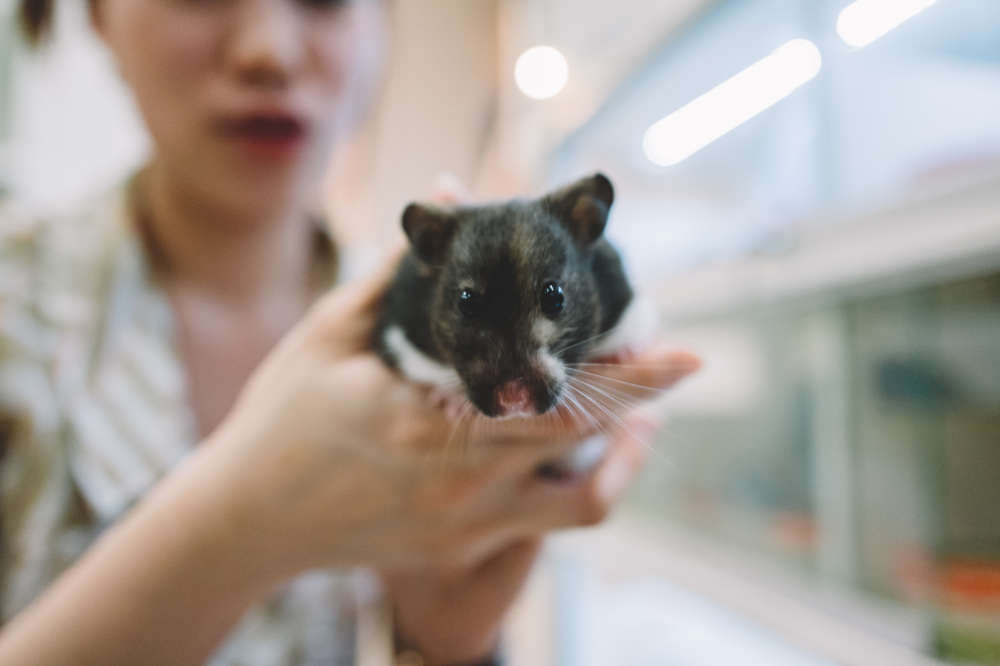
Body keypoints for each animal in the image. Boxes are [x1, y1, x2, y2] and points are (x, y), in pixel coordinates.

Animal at [376, 175, 656, 466]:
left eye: (554, 296)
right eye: (466, 302)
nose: (514, 400)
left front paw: (623, 355)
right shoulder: (400, 336)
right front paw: (450, 403)